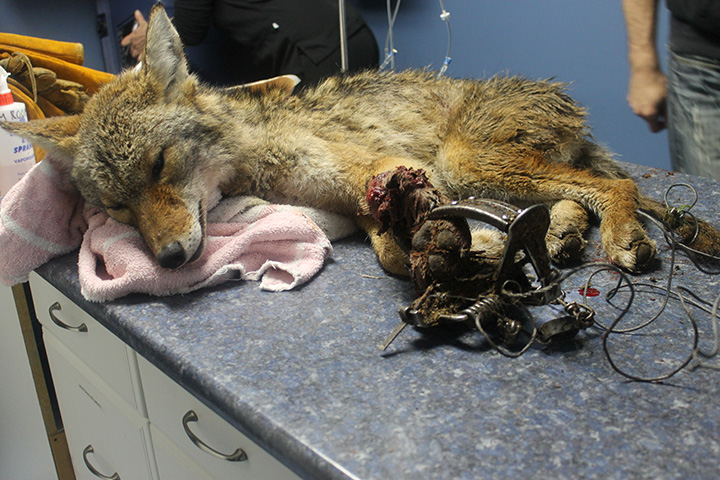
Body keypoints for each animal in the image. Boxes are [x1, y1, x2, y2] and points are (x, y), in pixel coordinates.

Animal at [3, 5, 718, 276]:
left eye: (159, 166)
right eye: (117, 208)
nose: (172, 259)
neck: (254, 157)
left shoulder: (394, 167)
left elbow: (400, 246)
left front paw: (465, 246)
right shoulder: (365, 192)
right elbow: (389, 249)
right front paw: (473, 246)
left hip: (465, 160)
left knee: (613, 183)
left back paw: (619, 234)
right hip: (489, 169)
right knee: (576, 193)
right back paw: (566, 234)